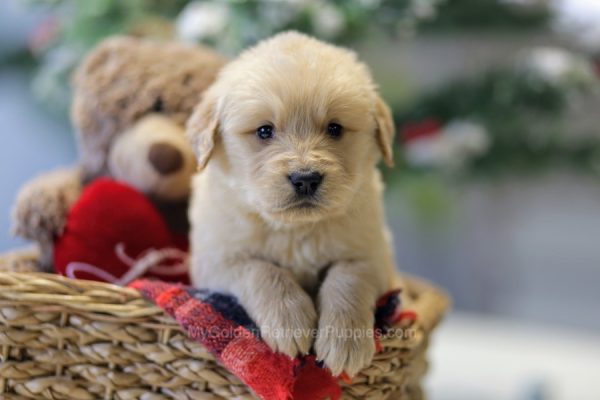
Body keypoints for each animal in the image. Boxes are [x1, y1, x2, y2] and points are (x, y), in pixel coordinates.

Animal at [188, 32, 398, 378]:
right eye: (264, 130)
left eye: (335, 128)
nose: (306, 179)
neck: (295, 230)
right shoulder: (217, 260)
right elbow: (262, 271)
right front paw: (290, 321)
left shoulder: (375, 255)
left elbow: (348, 278)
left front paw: (345, 340)